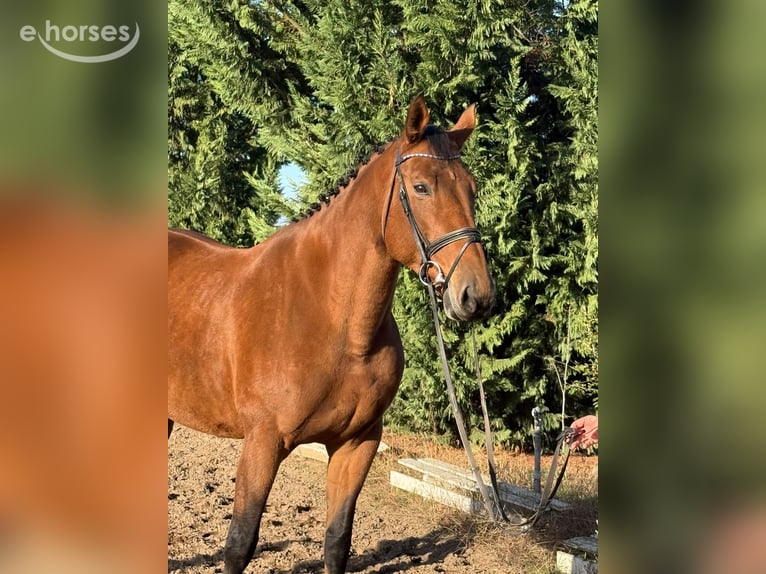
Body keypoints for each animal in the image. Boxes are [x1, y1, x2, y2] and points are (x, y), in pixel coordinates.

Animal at [168, 95, 495, 574]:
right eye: (421, 188)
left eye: (472, 189)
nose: (476, 294)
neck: (338, 326)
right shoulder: (262, 442)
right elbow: (240, 543)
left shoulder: (357, 444)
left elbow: (337, 539)